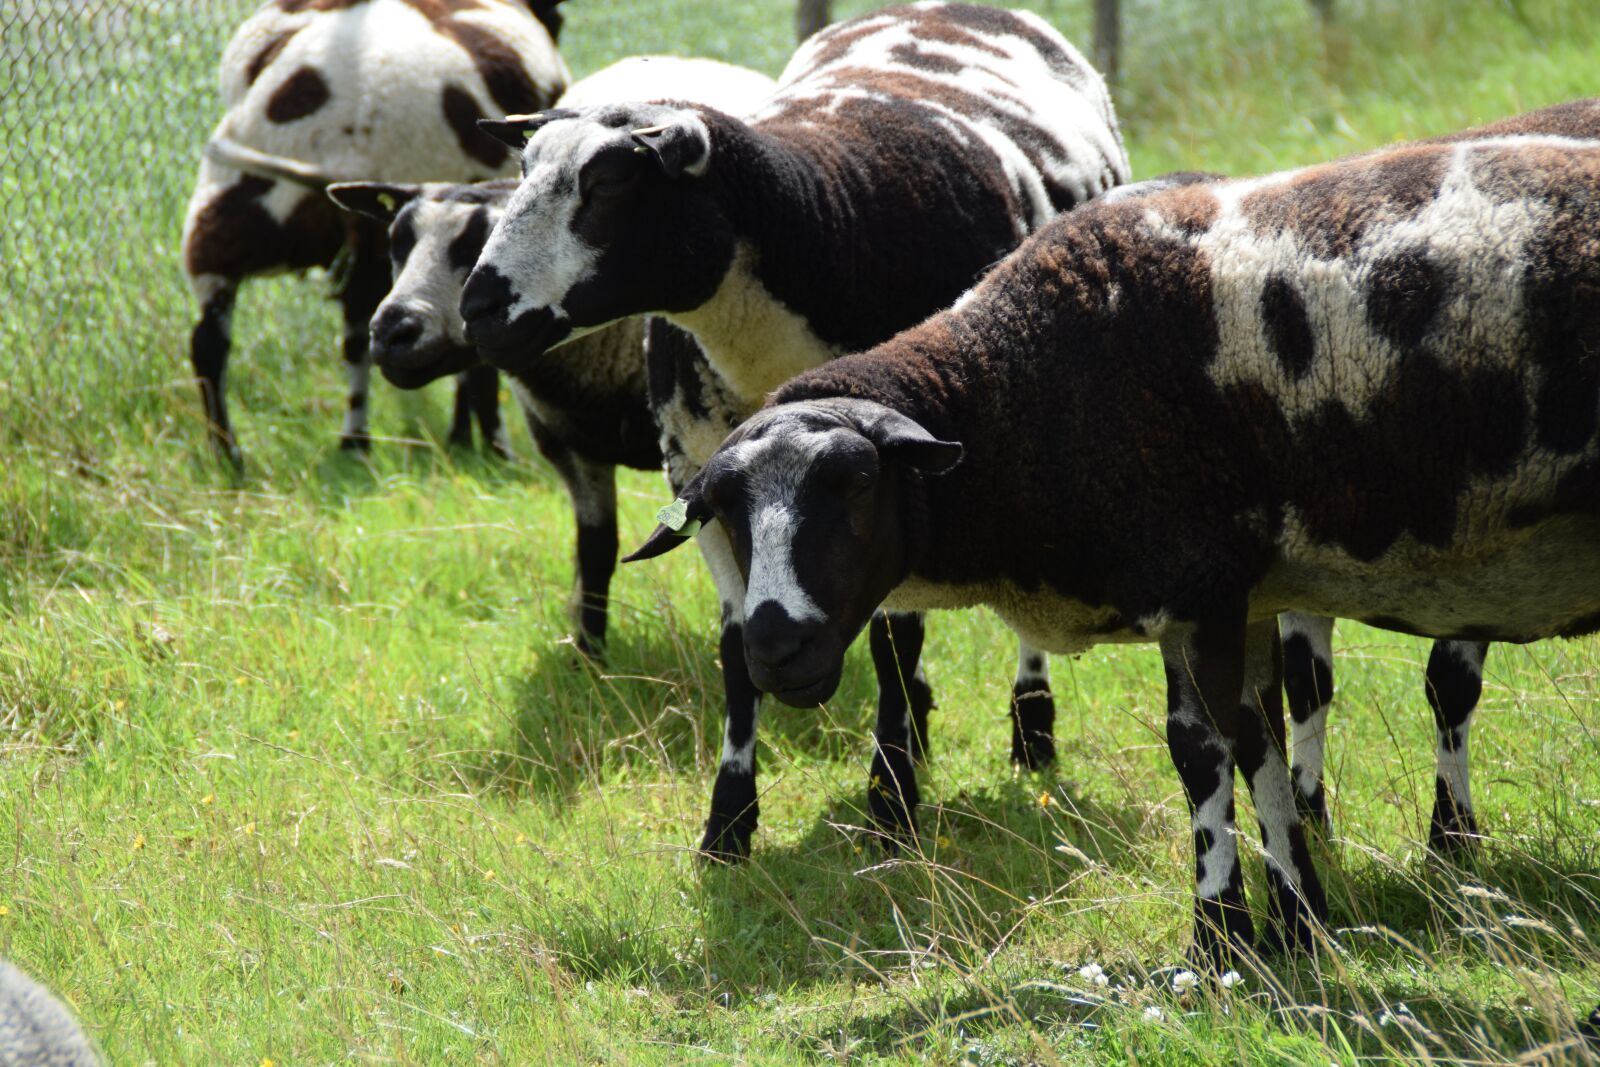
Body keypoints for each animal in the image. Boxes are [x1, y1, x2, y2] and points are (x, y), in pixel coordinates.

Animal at [461, 1, 1131, 860]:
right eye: (522, 173)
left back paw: (1030, 727)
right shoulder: (701, 479)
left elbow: (892, 644)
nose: (478, 308)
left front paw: (891, 809)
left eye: (607, 180)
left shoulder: (892, 466)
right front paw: (728, 825)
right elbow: (738, 650)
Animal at [625, 125, 1600, 966]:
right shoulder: (1230, 593)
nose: (774, 646)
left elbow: (1212, 757)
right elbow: (1249, 752)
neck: (1016, 387)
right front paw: (1294, 925)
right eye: (722, 508)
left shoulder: (1200, 584)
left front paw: (1223, 943)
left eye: (856, 481)